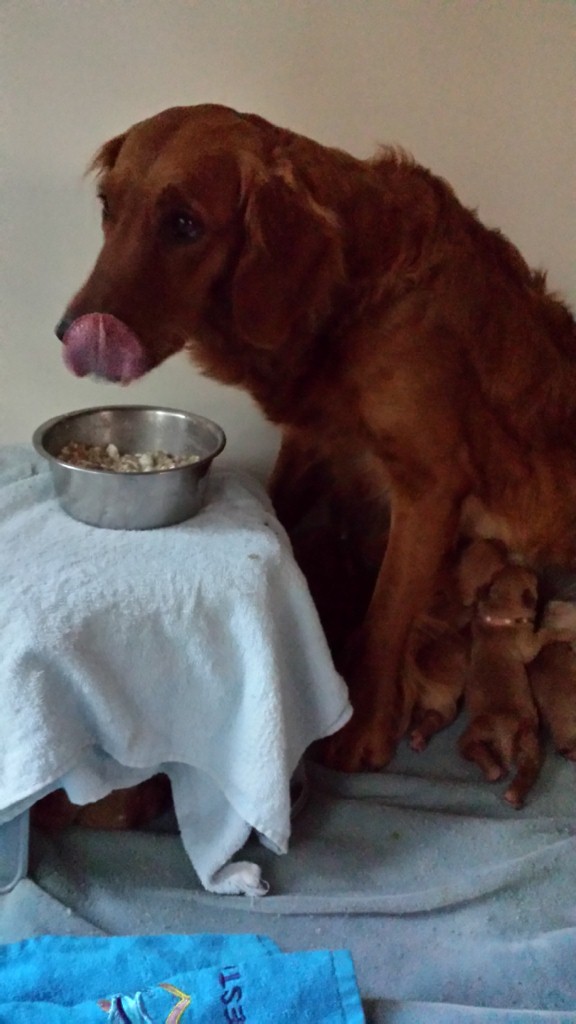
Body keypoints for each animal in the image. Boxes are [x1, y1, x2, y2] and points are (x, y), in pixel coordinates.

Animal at [54, 105, 573, 774]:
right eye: (107, 207)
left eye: (183, 224)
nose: (70, 332)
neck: (352, 299)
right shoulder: (313, 442)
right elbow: (277, 509)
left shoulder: (429, 486)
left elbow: (386, 614)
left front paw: (363, 731)